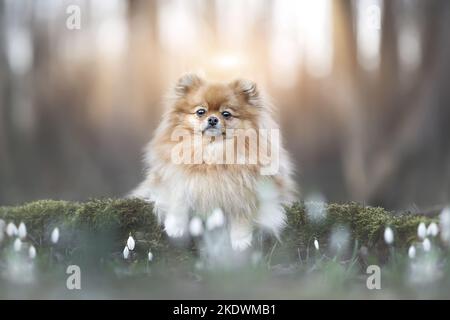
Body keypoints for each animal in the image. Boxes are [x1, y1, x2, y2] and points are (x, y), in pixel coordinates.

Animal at [132, 74, 298, 251]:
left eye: (226, 114)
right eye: (201, 112)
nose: (212, 119)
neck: (212, 151)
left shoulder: (247, 191)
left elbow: (242, 214)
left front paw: (241, 240)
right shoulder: (174, 178)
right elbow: (177, 200)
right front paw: (176, 227)